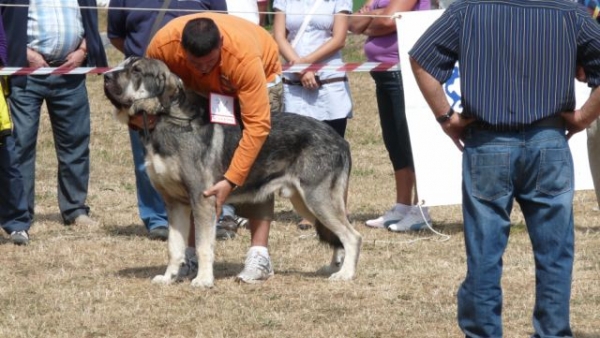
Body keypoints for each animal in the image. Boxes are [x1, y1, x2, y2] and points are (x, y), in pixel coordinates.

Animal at [103, 58, 360, 288]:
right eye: (123, 65)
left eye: (136, 70)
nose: (105, 76)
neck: (165, 122)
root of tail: (341, 140)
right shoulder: (175, 203)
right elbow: (174, 248)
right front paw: (169, 278)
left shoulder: (203, 200)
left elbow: (204, 247)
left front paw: (203, 280)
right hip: (304, 202)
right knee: (338, 236)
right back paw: (334, 267)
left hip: (318, 199)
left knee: (352, 236)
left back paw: (345, 274)